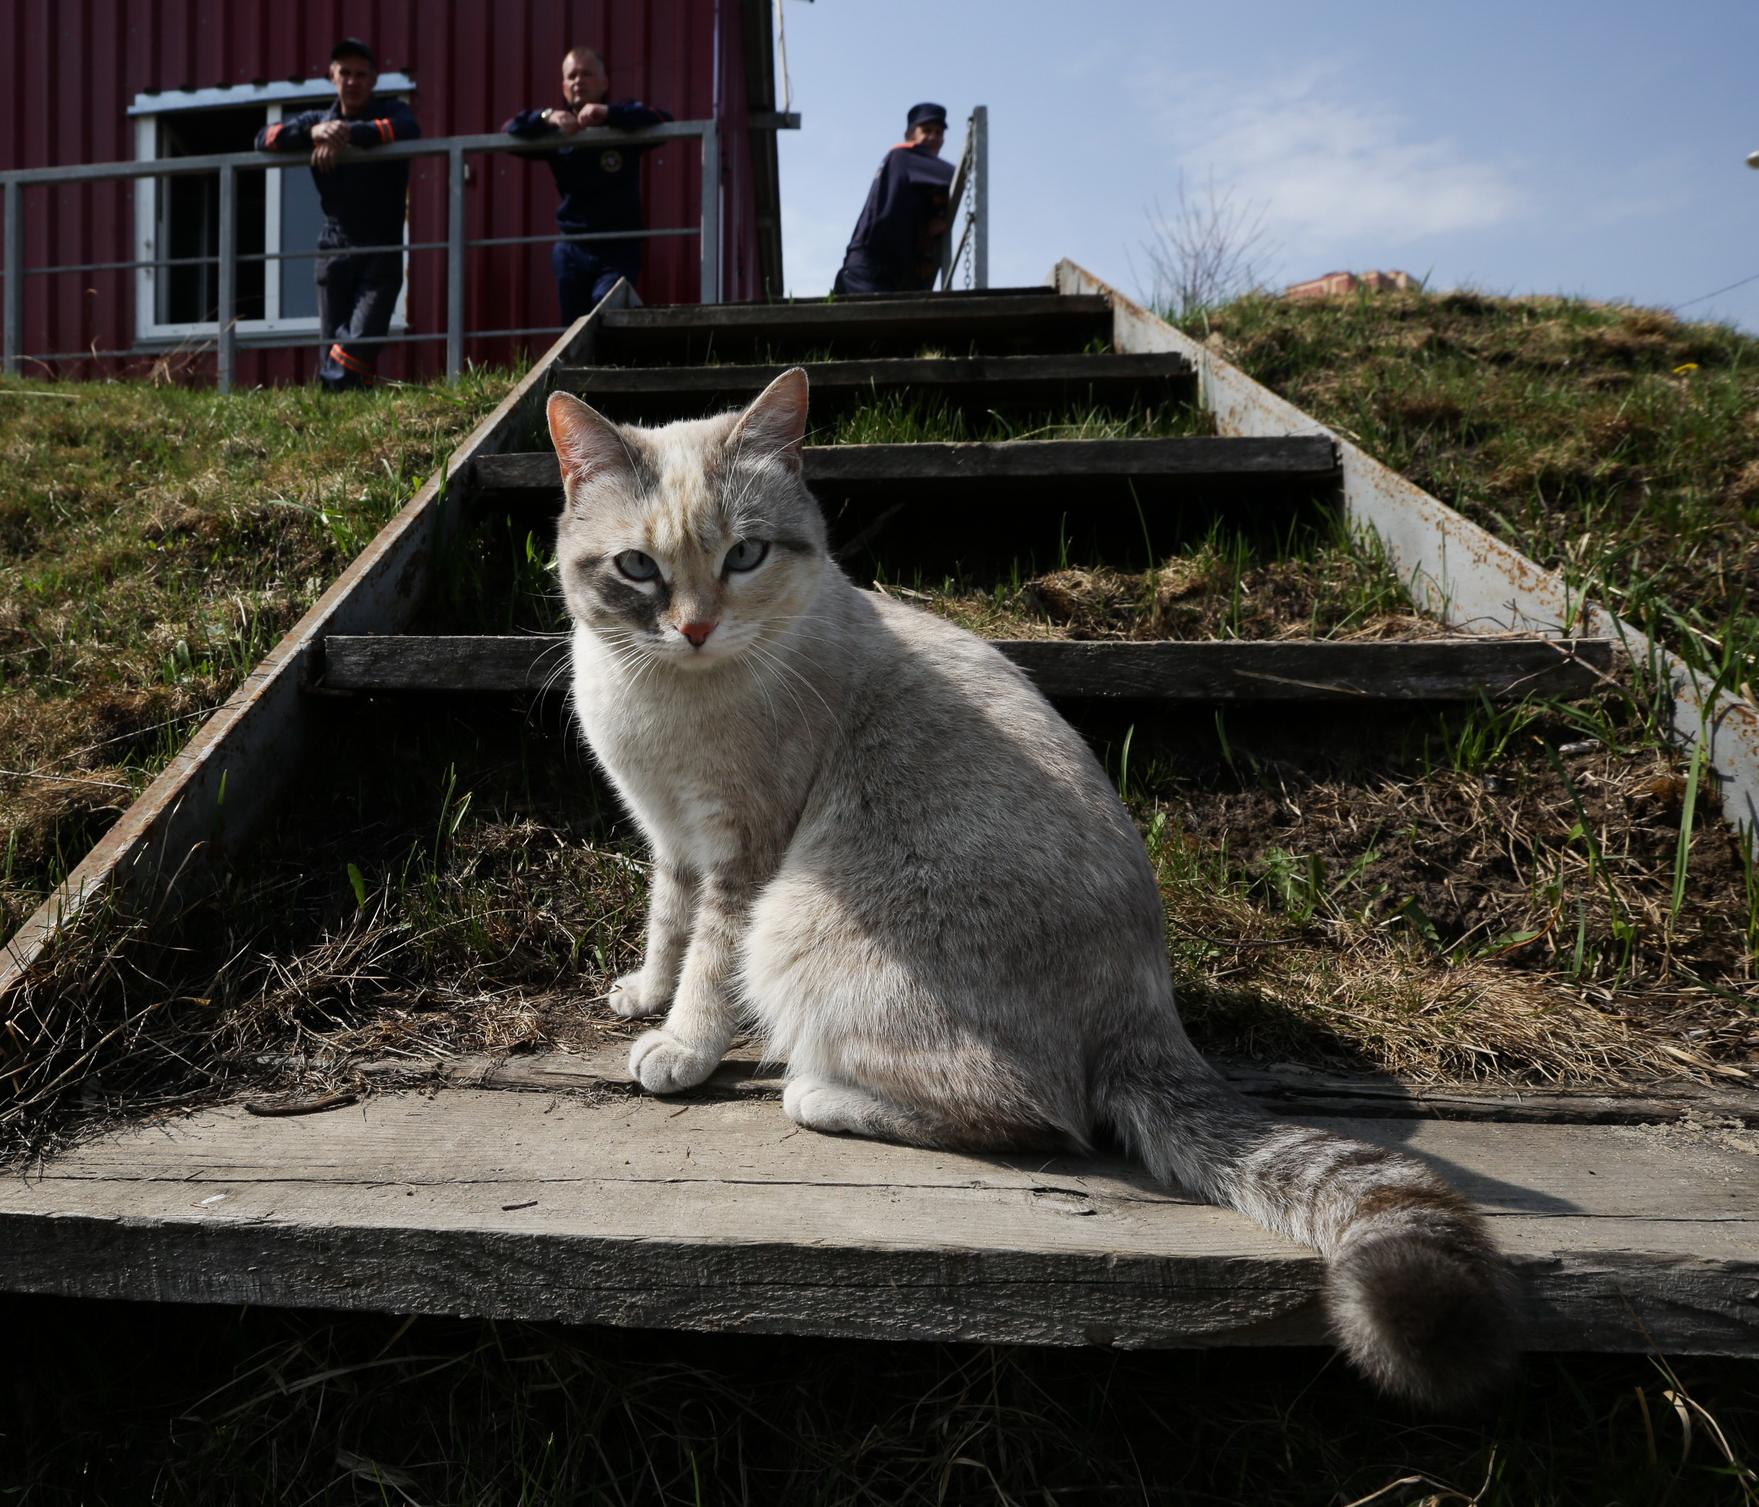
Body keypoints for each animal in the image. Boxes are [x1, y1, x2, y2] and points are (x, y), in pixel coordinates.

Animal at [545, 371, 1512, 1406]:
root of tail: (1148, 1014)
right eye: (637, 569)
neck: (656, 694)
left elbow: (707, 962)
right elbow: (666, 926)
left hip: (797, 927)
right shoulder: (670, 837)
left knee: (1039, 1112)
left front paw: (679, 1048)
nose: (693, 628)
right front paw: (640, 993)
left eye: (745, 555)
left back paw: (815, 1091)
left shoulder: (741, 853)